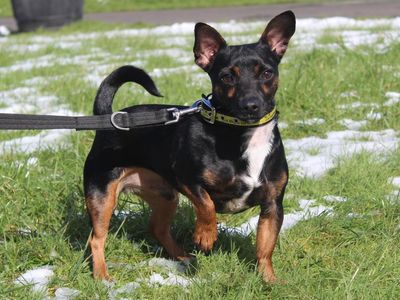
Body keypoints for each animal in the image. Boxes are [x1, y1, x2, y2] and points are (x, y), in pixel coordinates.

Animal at [84, 10, 296, 282]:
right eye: (227, 76)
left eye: (267, 73)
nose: (251, 105)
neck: (240, 133)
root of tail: (108, 118)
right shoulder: (187, 178)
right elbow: (206, 205)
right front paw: (205, 235)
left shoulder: (272, 205)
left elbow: (265, 248)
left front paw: (268, 280)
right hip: (102, 197)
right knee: (96, 239)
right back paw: (102, 277)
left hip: (165, 196)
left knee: (157, 228)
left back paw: (183, 257)